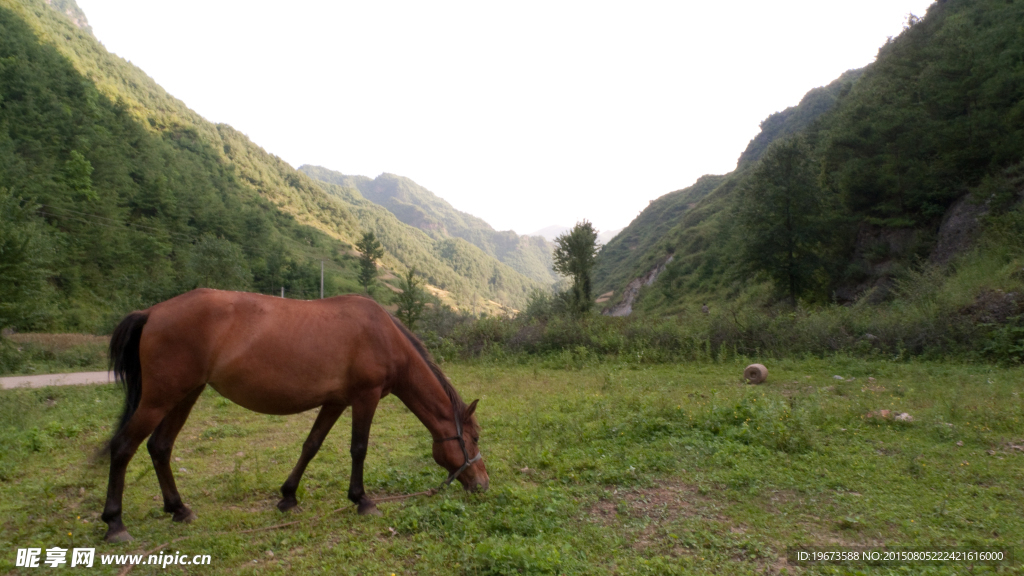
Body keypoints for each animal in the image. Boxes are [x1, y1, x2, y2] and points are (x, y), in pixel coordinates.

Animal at [101, 289, 485, 541]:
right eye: (475, 438)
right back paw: (115, 524)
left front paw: (288, 497)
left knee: (160, 447)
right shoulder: (366, 397)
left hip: (185, 396)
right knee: (123, 448)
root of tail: (152, 312)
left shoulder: (336, 402)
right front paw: (362, 500)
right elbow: (359, 449)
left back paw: (179, 509)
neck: (383, 335)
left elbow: (311, 445)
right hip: (159, 399)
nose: (483, 483)